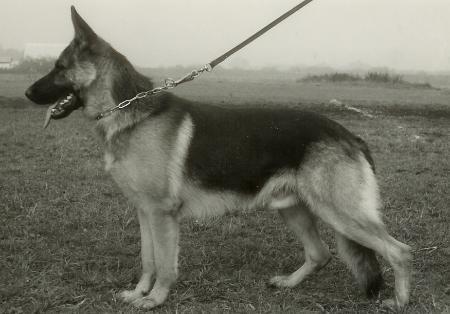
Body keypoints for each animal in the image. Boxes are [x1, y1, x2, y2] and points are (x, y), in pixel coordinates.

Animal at [24, 6, 412, 310]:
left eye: (59, 67)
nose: (27, 93)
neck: (129, 111)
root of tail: (349, 135)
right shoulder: (144, 211)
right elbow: (148, 259)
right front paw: (139, 293)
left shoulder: (162, 213)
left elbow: (165, 264)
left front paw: (156, 298)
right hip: (294, 209)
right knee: (321, 254)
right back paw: (288, 283)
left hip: (339, 213)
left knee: (399, 251)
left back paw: (399, 301)